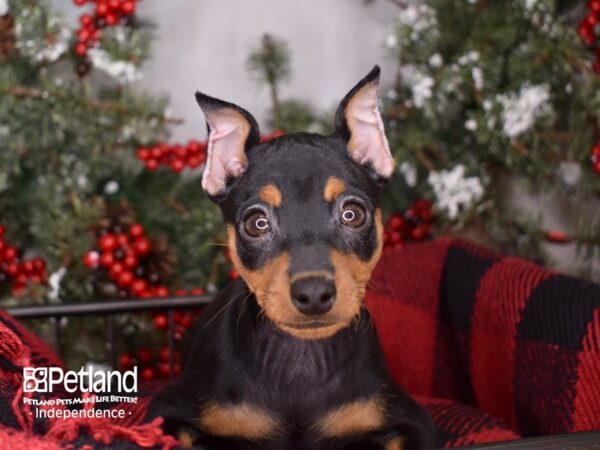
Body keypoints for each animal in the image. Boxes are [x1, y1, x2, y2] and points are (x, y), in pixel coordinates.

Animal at [147, 67, 434, 450]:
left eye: (352, 214)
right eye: (257, 223)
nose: (313, 294)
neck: (300, 361)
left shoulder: (413, 421)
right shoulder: (165, 411)